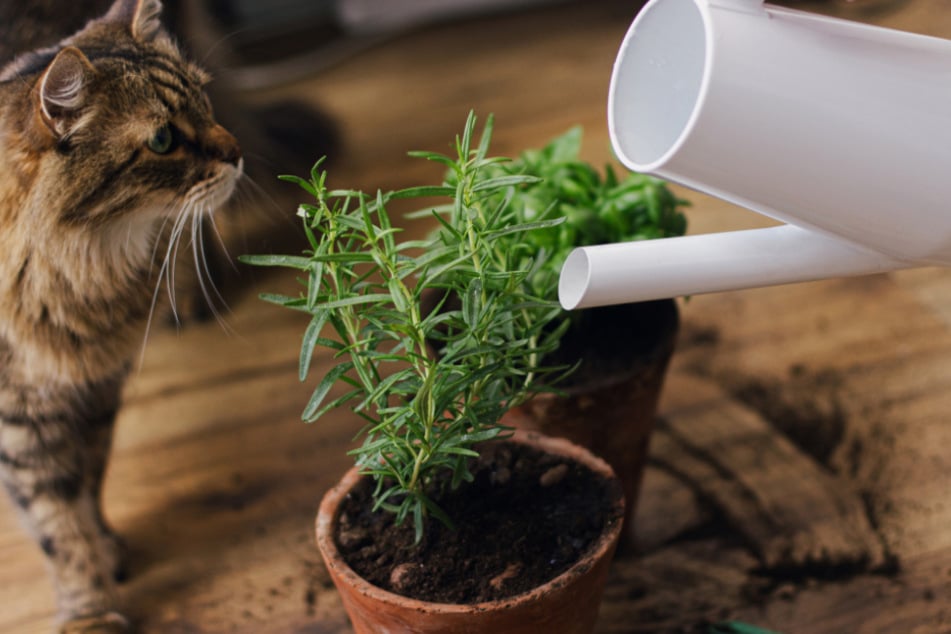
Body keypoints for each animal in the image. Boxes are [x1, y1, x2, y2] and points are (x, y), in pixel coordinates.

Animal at [1, 2, 245, 628]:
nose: (236, 152)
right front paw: (88, 609)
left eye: (204, 101)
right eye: (162, 139)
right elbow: (56, 527)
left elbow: (87, 481)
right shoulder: (20, 420)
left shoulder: (96, 387)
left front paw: (104, 550)